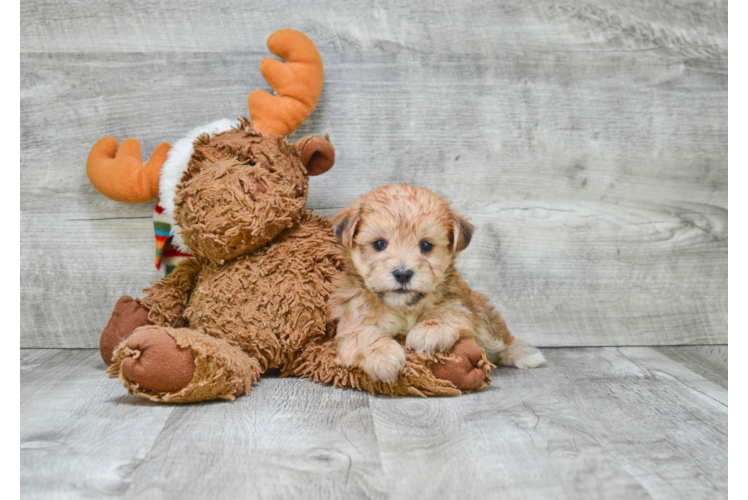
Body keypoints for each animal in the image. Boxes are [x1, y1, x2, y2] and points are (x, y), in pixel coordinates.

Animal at [328, 186, 544, 384]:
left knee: (499, 341)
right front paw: (383, 357)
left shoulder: (458, 303)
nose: (403, 273)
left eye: (426, 246)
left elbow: (445, 313)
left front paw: (428, 331)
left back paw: (523, 353)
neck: (402, 306)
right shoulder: (350, 325)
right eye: (379, 244)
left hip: (482, 315)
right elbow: (365, 335)